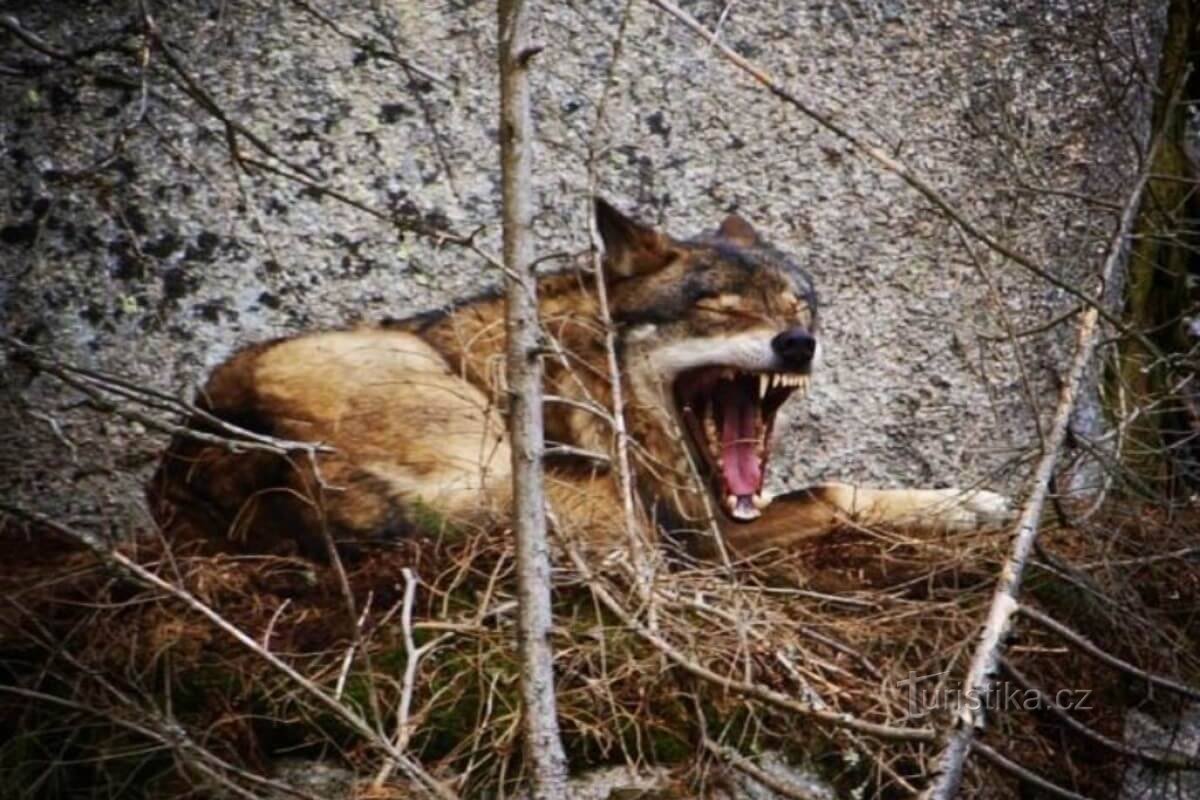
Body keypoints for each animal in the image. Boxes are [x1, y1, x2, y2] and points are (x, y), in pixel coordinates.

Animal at [150, 199, 1012, 563]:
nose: (799, 344)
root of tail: (222, 461)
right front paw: (963, 504)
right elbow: (832, 494)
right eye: (722, 307)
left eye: (798, 306)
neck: (587, 379)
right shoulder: (703, 535)